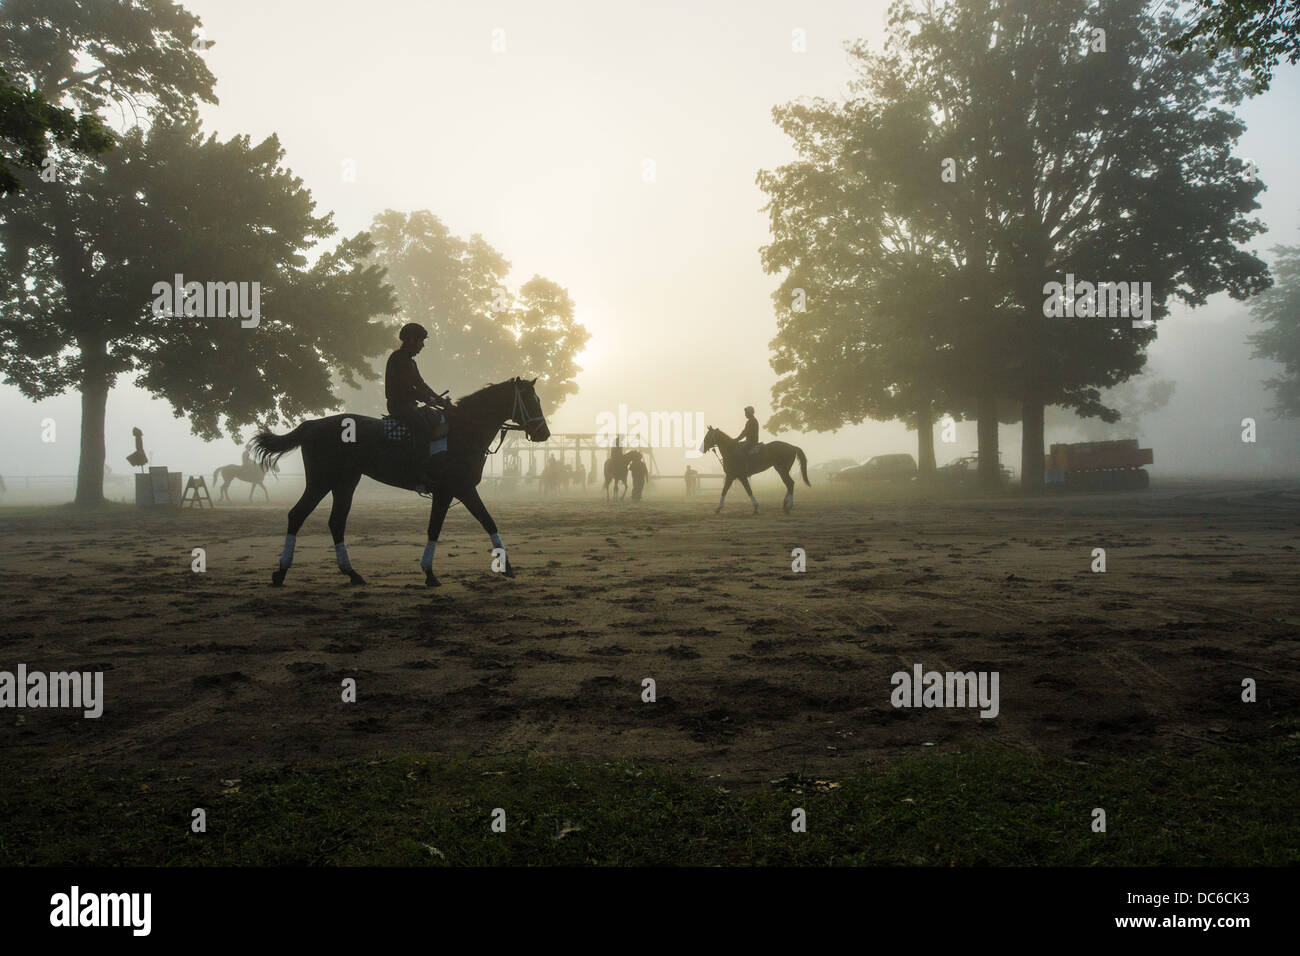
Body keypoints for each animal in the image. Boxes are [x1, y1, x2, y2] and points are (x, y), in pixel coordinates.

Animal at [252, 377, 548, 587]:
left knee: (336, 522)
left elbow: (488, 521)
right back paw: (281, 571)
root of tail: (313, 424)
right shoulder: (449, 491)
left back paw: (352, 573)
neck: (462, 432)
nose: (544, 433)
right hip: (321, 481)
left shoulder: (464, 490)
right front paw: (429, 573)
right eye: (531, 401)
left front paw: (506, 566)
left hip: (345, 482)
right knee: (297, 514)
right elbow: (435, 528)